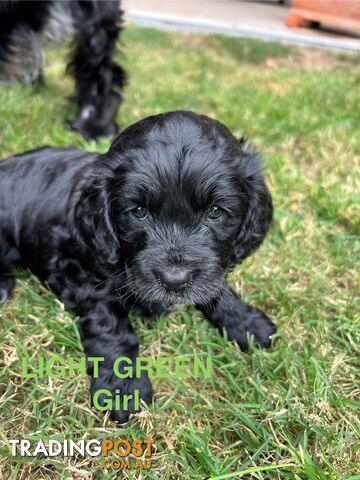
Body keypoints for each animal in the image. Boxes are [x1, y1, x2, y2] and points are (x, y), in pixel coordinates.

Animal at [0, 110, 276, 422]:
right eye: (139, 212)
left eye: (215, 211)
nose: (175, 280)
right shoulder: (78, 272)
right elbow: (110, 325)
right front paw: (122, 388)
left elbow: (216, 285)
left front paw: (246, 322)